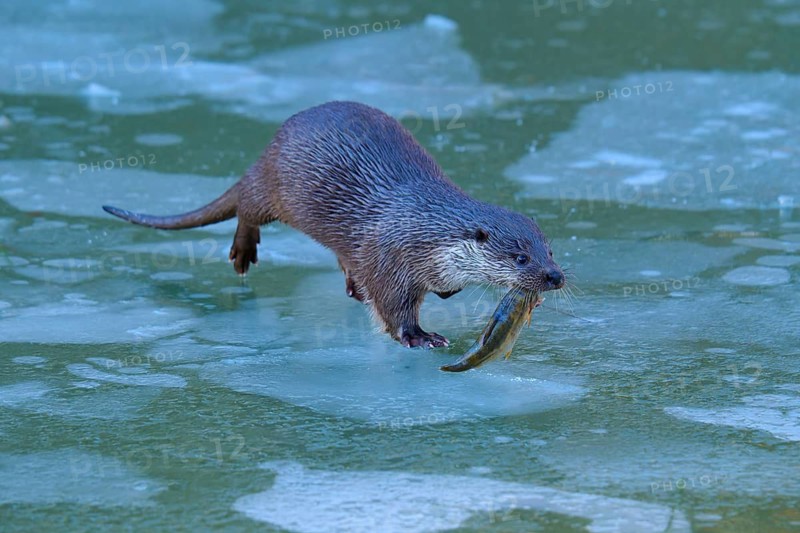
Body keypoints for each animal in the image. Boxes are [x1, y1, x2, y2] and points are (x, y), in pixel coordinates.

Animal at [103, 101, 564, 348]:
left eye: (549, 251)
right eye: (521, 258)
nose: (555, 277)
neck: (426, 229)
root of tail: (268, 150)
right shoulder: (390, 260)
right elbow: (394, 308)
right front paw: (419, 337)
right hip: (276, 190)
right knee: (248, 208)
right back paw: (243, 253)